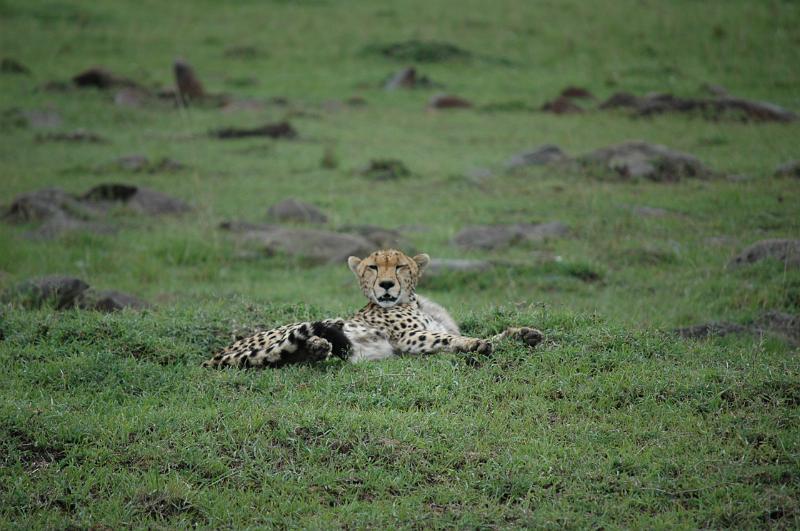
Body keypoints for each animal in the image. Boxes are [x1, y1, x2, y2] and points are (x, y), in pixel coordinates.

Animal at [202, 249, 543, 368]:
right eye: (372, 267)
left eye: (401, 266)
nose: (387, 285)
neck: (414, 300)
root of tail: (215, 355)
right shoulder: (409, 339)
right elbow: (449, 339)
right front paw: (474, 344)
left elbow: (497, 334)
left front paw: (525, 333)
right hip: (303, 324)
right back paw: (320, 345)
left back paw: (320, 348)